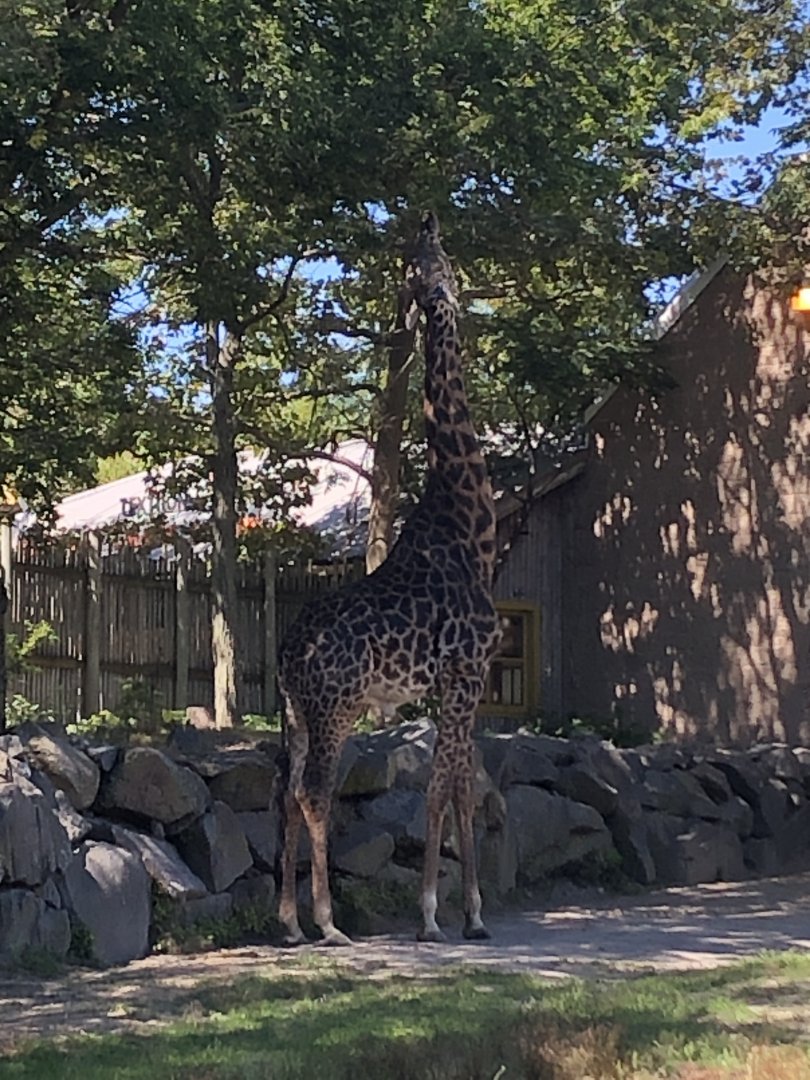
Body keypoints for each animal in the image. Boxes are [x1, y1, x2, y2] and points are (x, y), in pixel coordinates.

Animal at [277, 212, 500, 945]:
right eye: (428, 258)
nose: (435, 294)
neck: (469, 522)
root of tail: (286, 653)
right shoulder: (466, 672)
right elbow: (437, 789)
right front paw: (434, 913)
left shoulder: (461, 683)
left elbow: (459, 788)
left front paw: (473, 912)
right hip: (336, 706)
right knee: (315, 792)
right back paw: (326, 923)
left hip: (299, 712)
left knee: (287, 792)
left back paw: (289, 922)